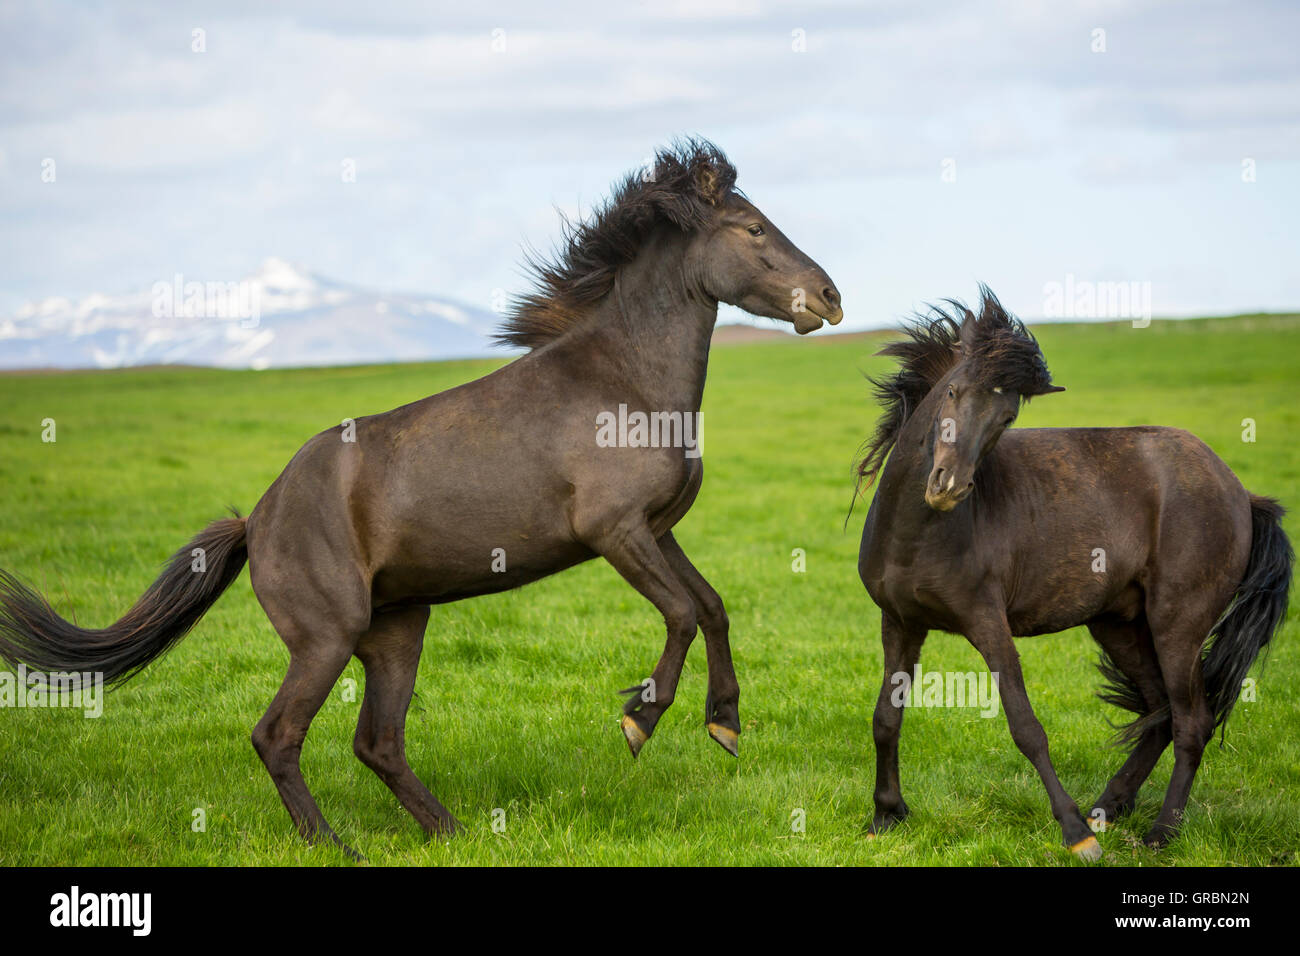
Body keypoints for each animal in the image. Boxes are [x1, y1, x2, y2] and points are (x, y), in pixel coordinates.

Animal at [0, 138, 842, 858]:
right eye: (752, 227)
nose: (831, 298)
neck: (622, 382)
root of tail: (257, 519)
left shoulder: (657, 530)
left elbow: (712, 608)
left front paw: (725, 725)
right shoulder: (615, 532)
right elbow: (680, 614)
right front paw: (640, 721)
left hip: (397, 630)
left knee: (377, 742)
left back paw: (452, 831)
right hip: (326, 636)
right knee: (278, 736)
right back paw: (335, 845)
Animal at [852, 287, 1289, 863]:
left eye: (1006, 417)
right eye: (952, 391)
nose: (948, 486)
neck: (918, 531)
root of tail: (1239, 491)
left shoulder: (987, 625)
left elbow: (1026, 727)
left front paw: (1075, 832)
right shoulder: (900, 623)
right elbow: (886, 718)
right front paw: (885, 817)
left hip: (1178, 625)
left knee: (1191, 721)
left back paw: (1159, 833)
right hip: (1119, 624)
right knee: (1160, 713)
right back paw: (1109, 806)